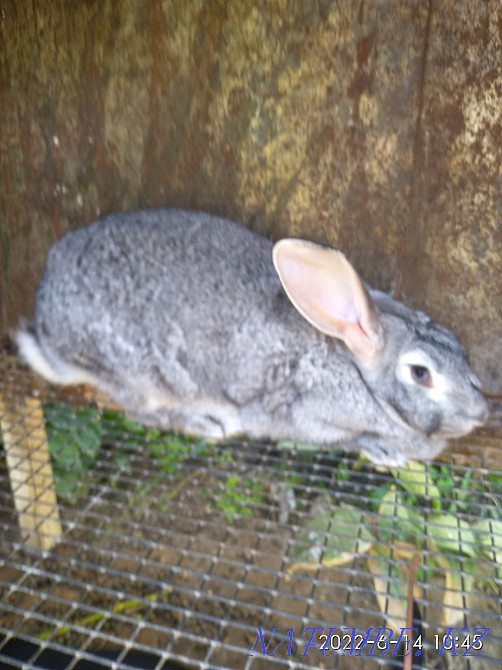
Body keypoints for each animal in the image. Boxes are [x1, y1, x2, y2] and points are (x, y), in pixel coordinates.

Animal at [16, 208, 488, 466]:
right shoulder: (295, 410)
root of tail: (47, 321)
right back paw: (205, 424)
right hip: (139, 375)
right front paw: (380, 448)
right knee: (140, 411)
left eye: (459, 347)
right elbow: (331, 435)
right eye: (421, 374)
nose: (482, 412)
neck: (358, 377)